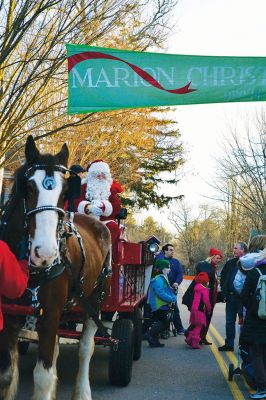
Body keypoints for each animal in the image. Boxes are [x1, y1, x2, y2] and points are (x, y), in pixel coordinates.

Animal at [0, 136, 111, 398]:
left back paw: (82, 391)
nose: (46, 253)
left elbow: (42, 377)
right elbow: (6, 374)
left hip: (95, 301)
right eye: (28, 188)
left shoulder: (49, 314)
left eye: (64, 193)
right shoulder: (9, 315)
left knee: (85, 348)